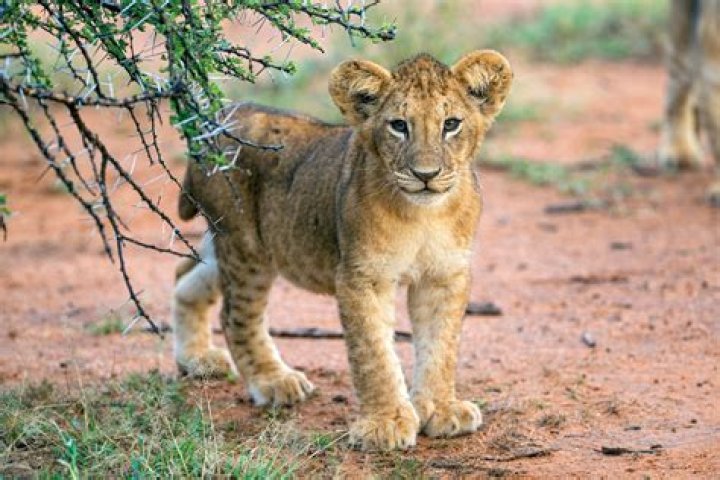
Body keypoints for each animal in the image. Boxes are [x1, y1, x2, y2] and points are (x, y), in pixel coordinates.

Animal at [171, 51, 513, 450]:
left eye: (452, 124)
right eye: (399, 125)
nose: (425, 174)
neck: (424, 215)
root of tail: (216, 120)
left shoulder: (445, 275)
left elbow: (441, 345)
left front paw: (442, 410)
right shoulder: (361, 277)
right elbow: (373, 353)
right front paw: (386, 424)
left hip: (234, 245)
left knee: (184, 276)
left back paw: (196, 359)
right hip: (246, 248)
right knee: (234, 316)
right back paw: (274, 382)